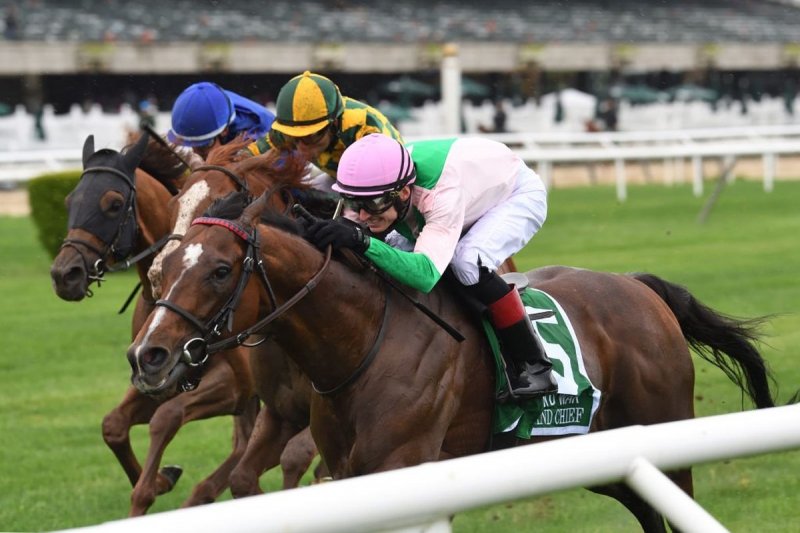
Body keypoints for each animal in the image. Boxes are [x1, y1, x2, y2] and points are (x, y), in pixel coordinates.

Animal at [49, 134, 259, 516]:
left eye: (114, 204)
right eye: (70, 200)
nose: (63, 274)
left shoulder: (235, 385)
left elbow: (168, 416)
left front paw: (154, 485)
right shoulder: (154, 377)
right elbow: (113, 425)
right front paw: (162, 479)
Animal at [126, 191, 776, 532]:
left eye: (219, 270)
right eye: (162, 268)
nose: (147, 356)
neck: (364, 337)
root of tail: (639, 287)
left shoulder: (401, 465)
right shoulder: (347, 474)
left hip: (666, 437)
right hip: (602, 454)